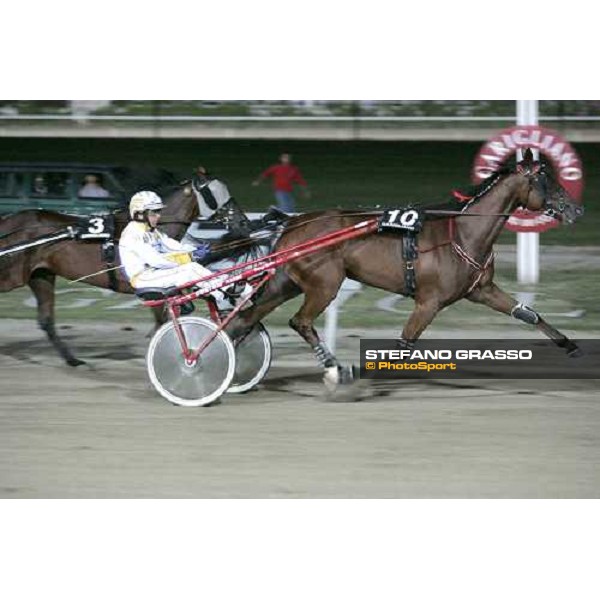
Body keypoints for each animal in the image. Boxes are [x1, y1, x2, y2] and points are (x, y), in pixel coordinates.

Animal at [230, 148, 584, 386]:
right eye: (545, 178)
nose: (576, 210)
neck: (464, 233)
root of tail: (293, 222)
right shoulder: (429, 302)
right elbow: (404, 344)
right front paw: (360, 373)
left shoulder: (482, 290)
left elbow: (528, 314)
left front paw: (569, 345)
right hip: (325, 284)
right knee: (300, 321)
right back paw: (332, 366)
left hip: (286, 282)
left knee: (247, 317)